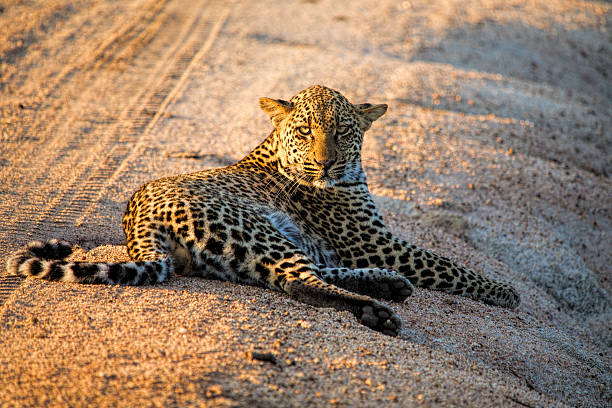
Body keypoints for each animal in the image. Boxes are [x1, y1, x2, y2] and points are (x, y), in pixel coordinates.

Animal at [7, 85, 520, 334]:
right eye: (306, 129)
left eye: (342, 130)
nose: (325, 163)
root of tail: (135, 222)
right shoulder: (375, 242)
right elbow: (449, 264)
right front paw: (505, 291)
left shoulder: (372, 244)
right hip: (252, 226)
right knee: (299, 283)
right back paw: (379, 312)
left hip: (253, 243)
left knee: (307, 273)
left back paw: (388, 287)